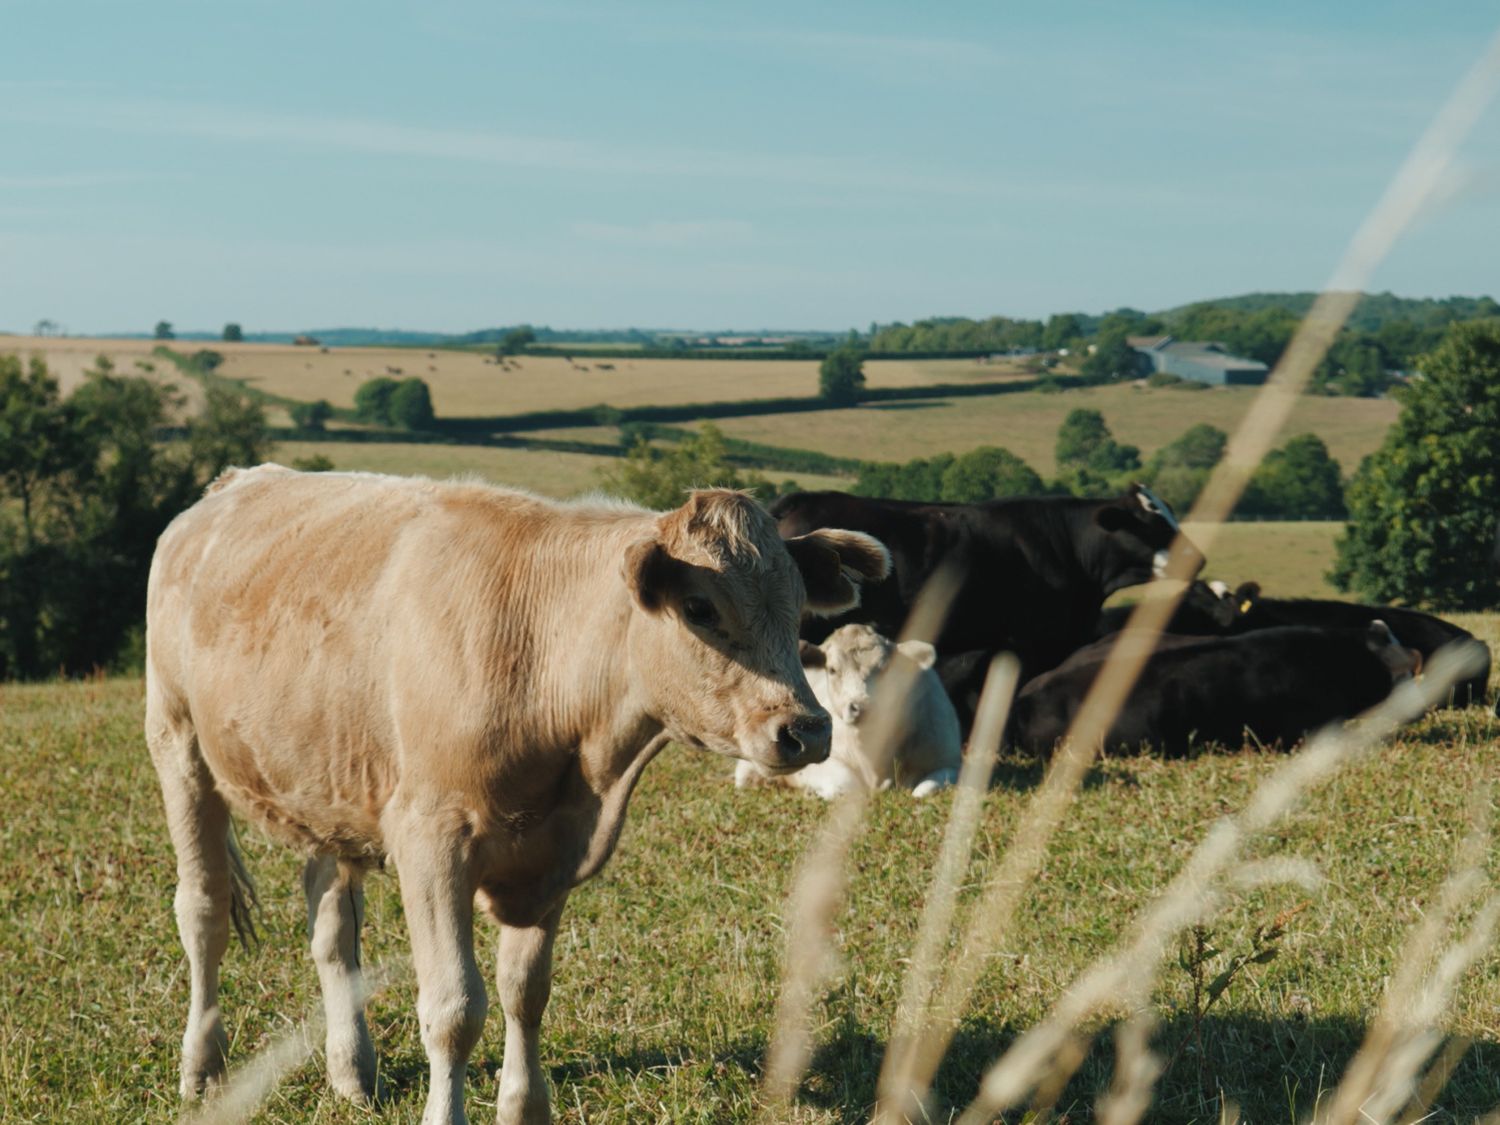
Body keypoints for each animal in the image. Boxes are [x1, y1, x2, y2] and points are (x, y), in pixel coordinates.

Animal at [143, 468, 888, 1125]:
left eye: (797, 607)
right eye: (700, 608)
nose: (807, 728)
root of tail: (229, 486)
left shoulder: (551, 854)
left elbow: (525, 992)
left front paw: (523, 1108)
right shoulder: (431, 840)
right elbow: (454, 1007)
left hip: (328, 784)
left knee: (331, 927)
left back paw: (352, 1071)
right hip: (177, 743)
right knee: (203, 910)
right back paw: (201, 1067)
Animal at [735, 627, 960, 804]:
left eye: (884, 668)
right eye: (832, 670)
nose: (861, 706)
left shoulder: (950, 762)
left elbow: (923, 790)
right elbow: (848, 785)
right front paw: (814, 793)